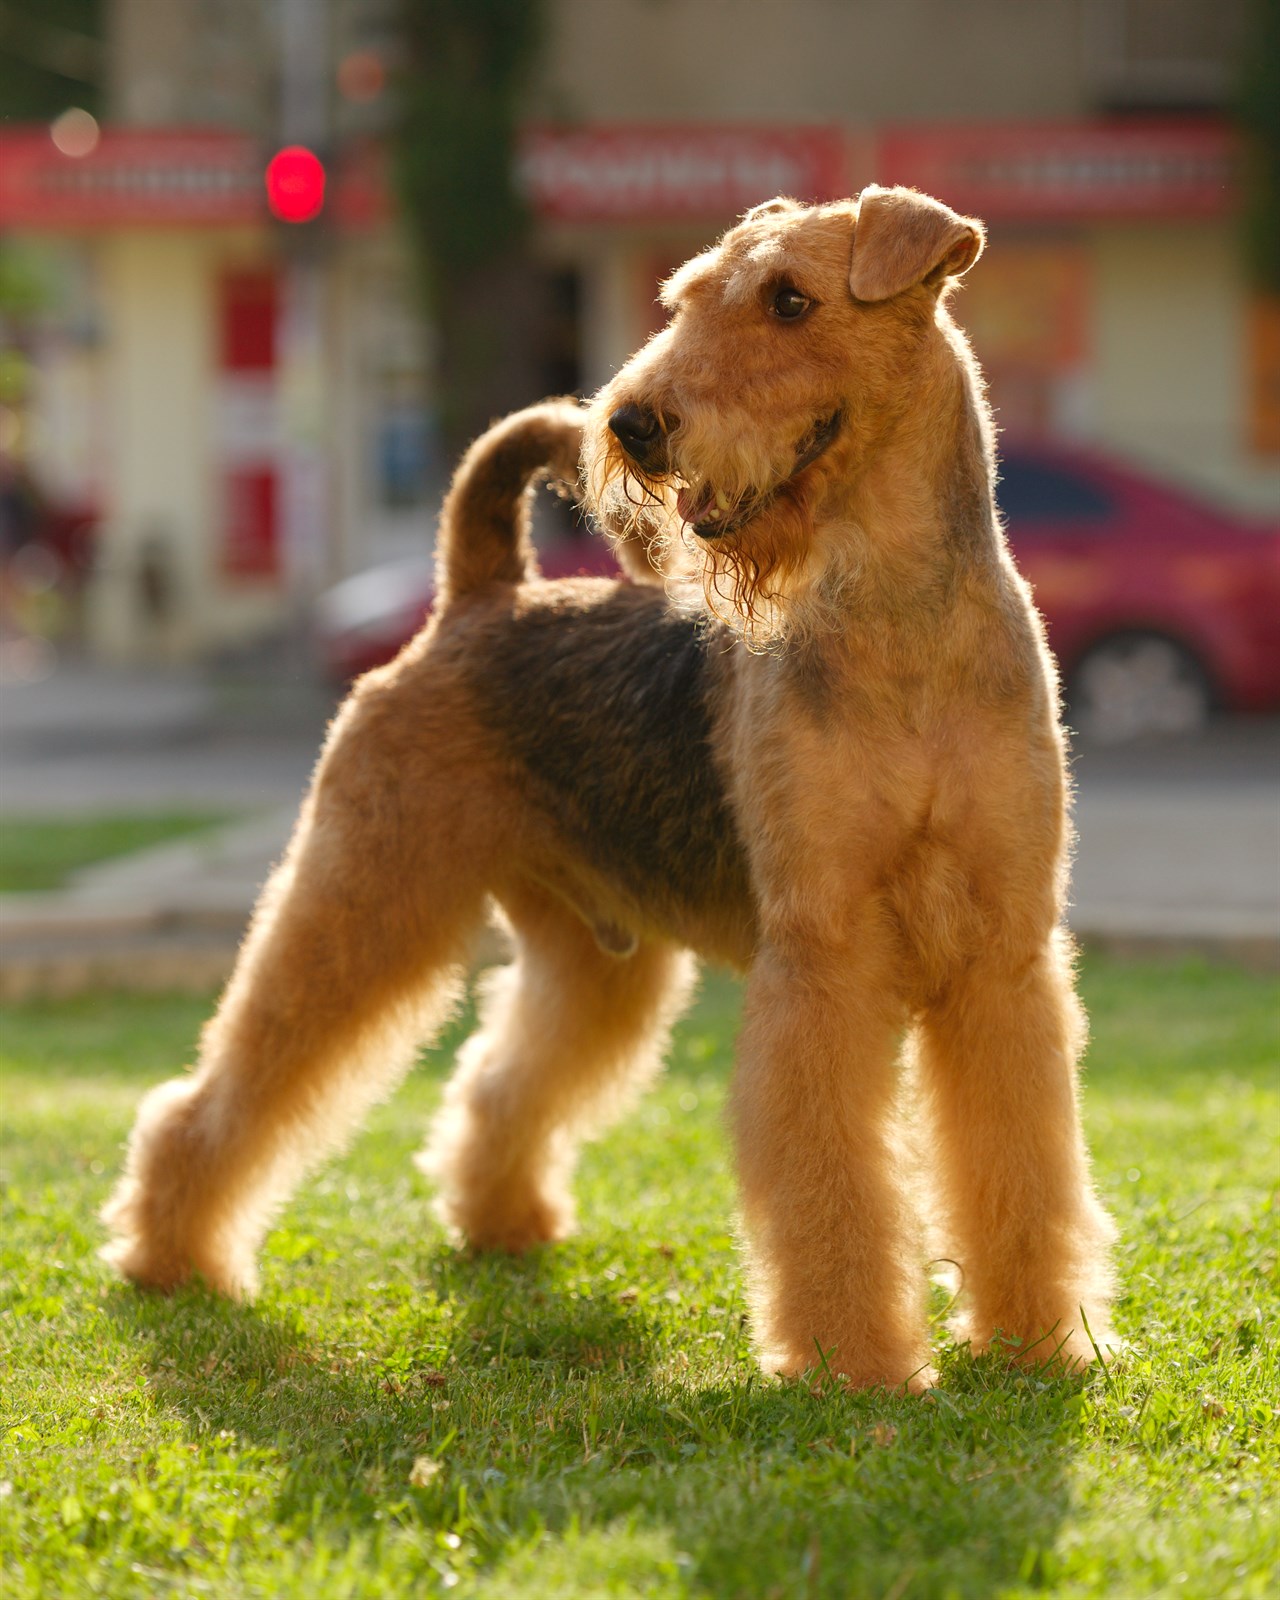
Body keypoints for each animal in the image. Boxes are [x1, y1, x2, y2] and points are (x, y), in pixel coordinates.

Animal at [104, 184, 1113, 1388]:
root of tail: (478, 596)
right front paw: (853, 1367)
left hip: (595, 959)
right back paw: (169, 1255)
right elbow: (833, 1182)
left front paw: (1036, 1345)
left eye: (789, 300)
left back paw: (500, 1222)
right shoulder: (823, 958)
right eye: (684, 298)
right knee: (230, 1084)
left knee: (499, 1078)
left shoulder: (1001, 956)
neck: (899, 624)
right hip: (362, 890)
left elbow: (1021, 1167)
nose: (631, 423)